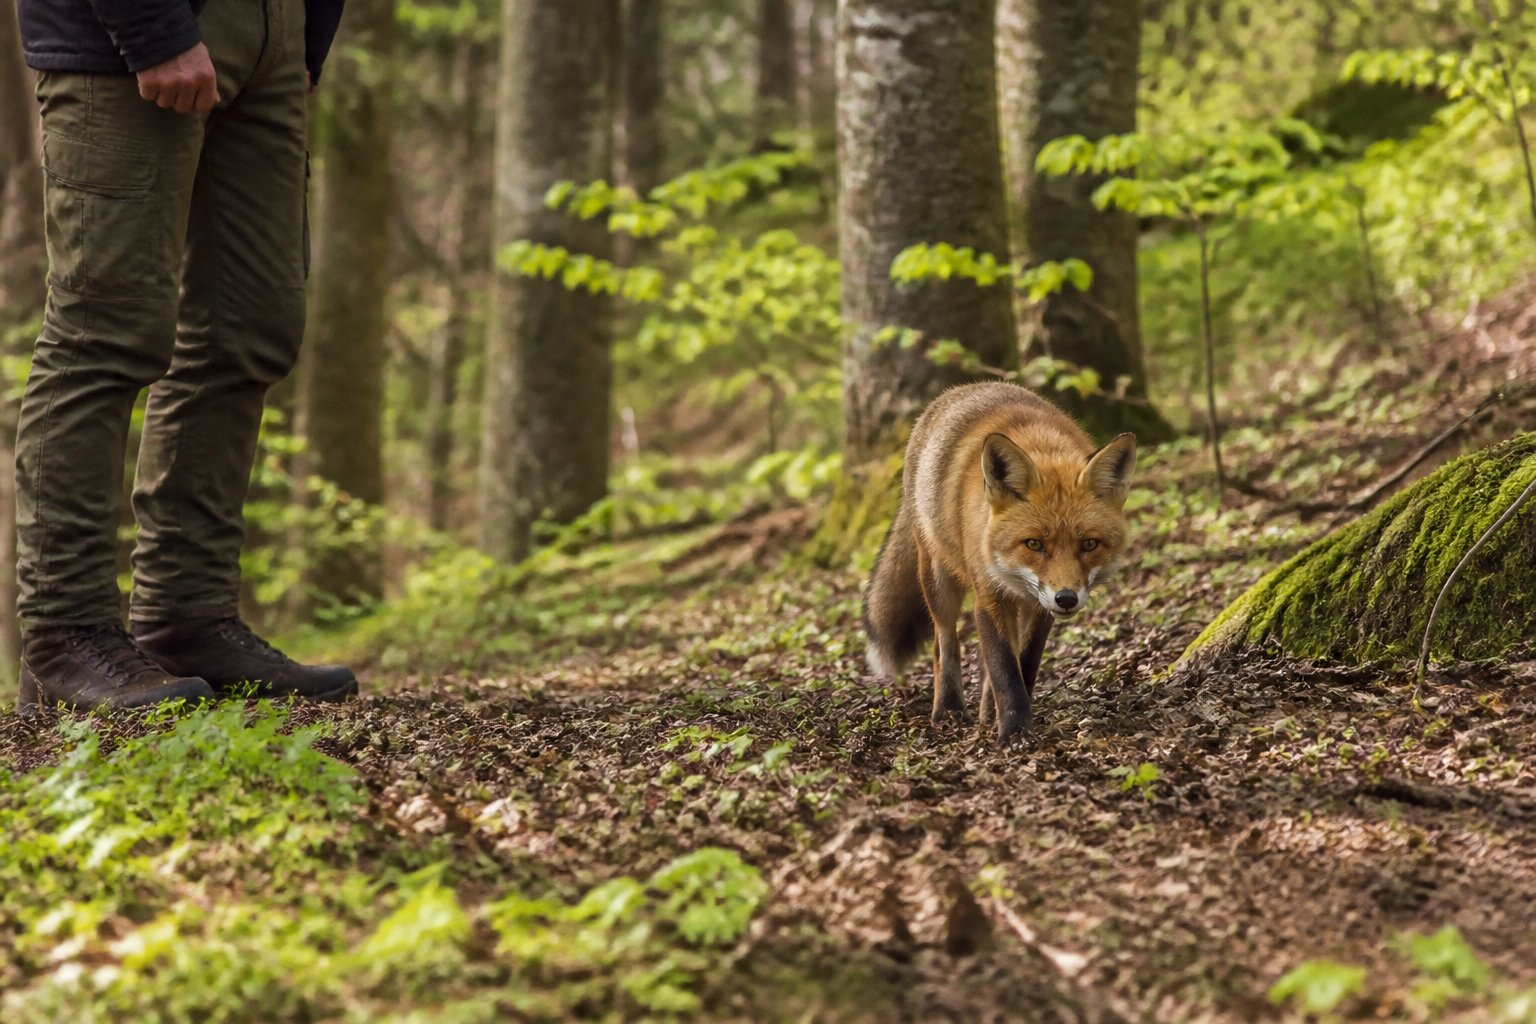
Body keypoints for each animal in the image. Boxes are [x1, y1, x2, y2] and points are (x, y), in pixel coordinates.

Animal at [862, 381, 1137, 744]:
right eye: (1034, 544)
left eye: (1089, 544)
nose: (1066, 599)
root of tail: (962, 388)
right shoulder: (989, 596)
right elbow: (1005, 668)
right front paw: (1014, 731)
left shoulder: (1039, 607)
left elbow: (1025, 662)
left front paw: (1008, 716)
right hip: (938, 579)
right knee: (944, 645)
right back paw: (948, 709)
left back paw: (984, 710)